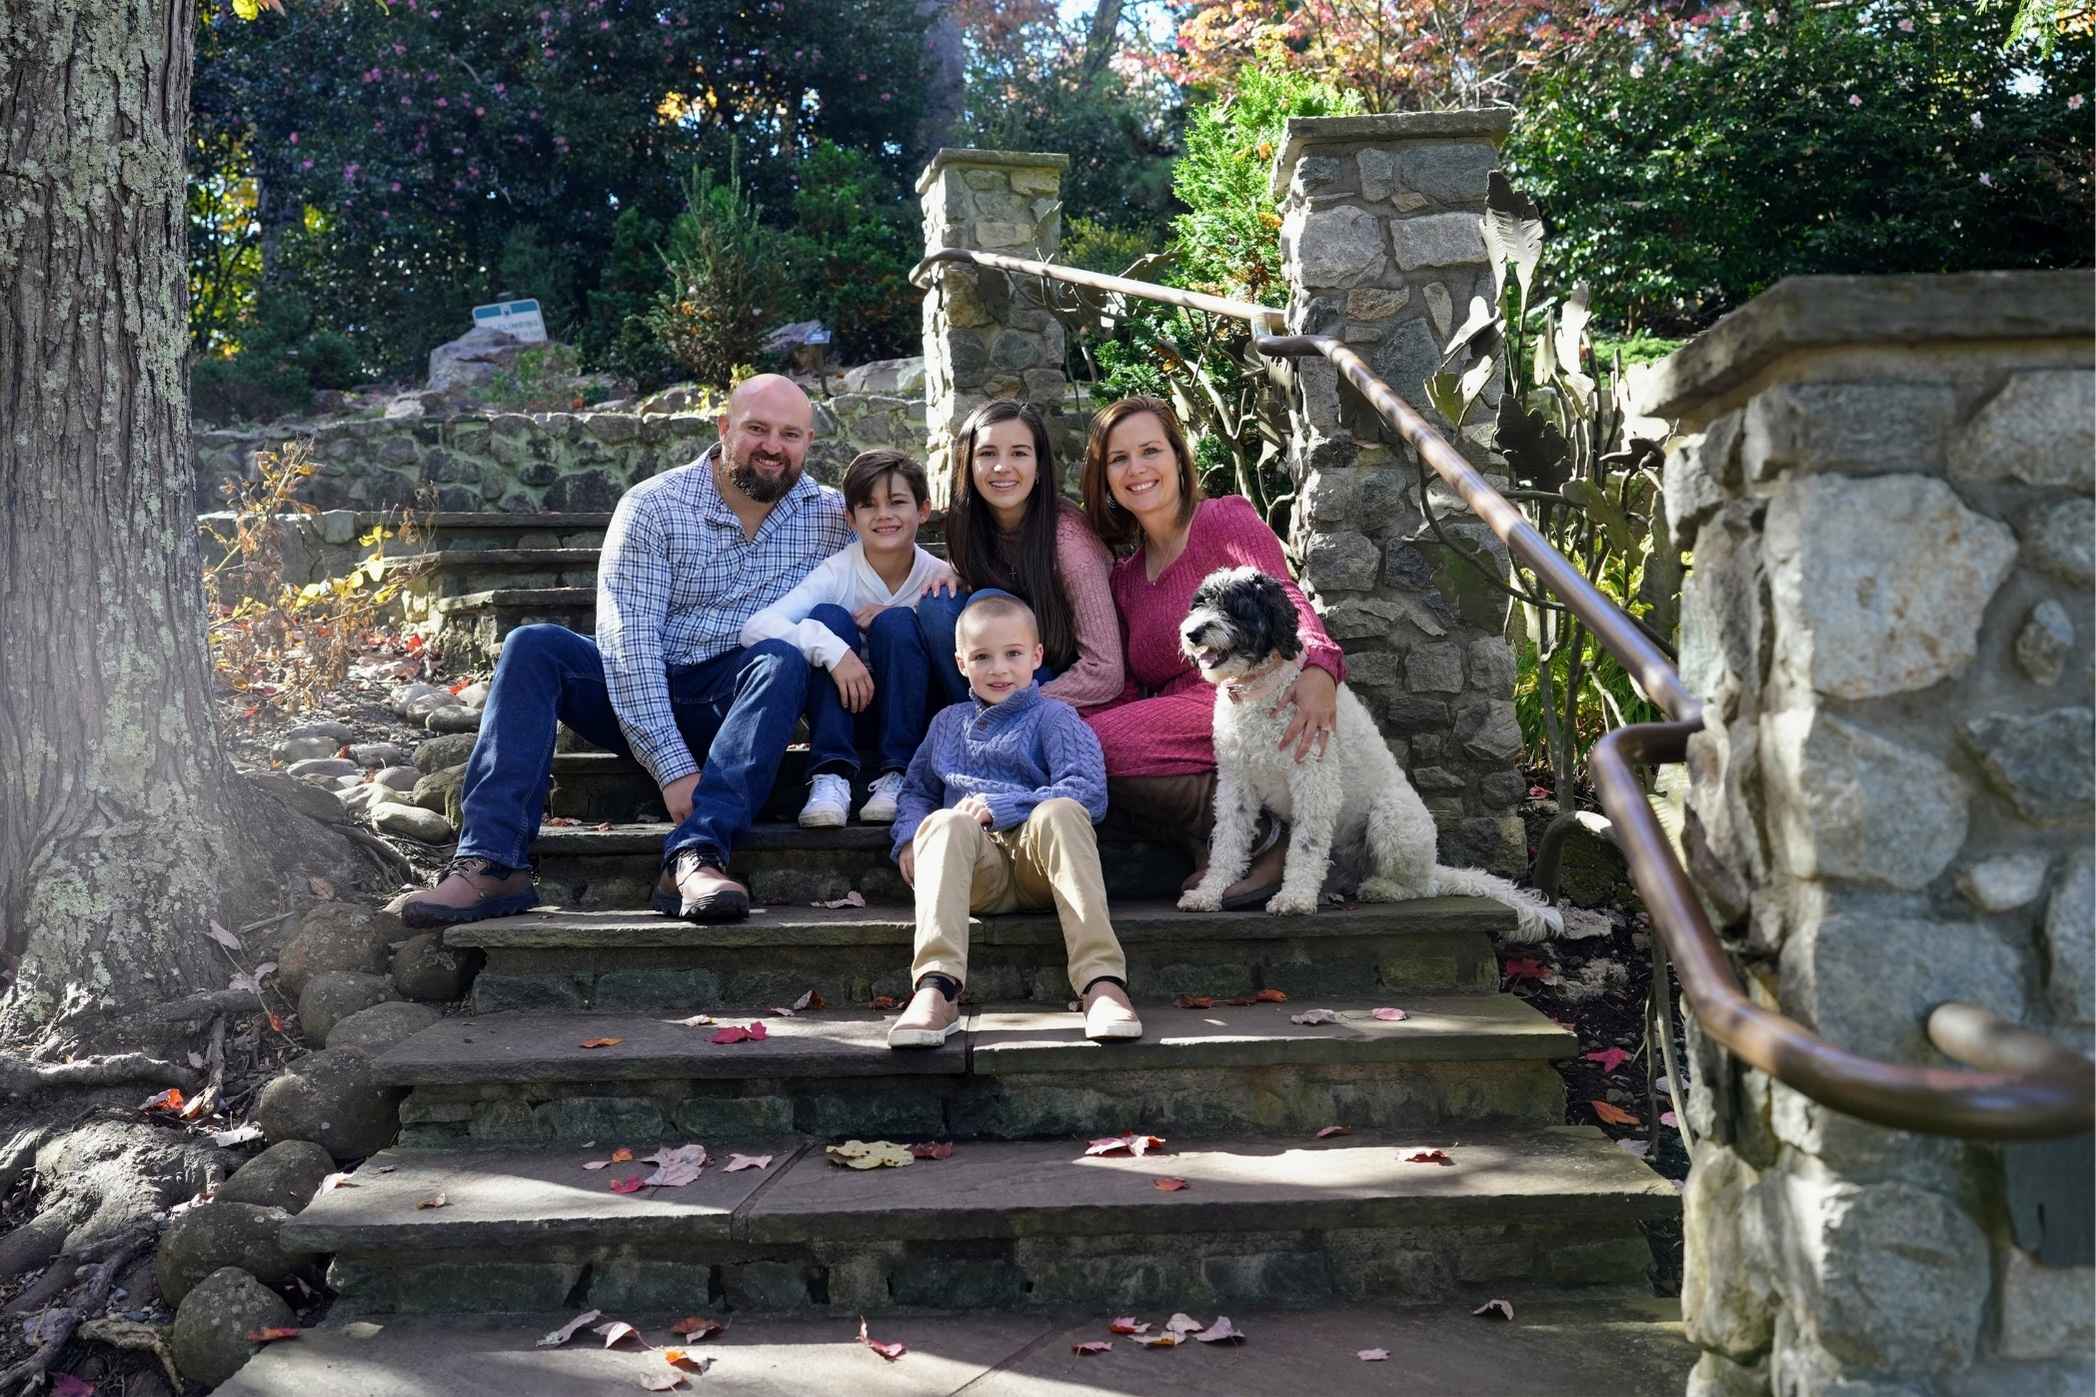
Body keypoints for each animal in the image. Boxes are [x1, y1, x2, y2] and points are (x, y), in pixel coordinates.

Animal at [1175, 566, 1561, 940]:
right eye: (1200, 603)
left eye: (1235, 607)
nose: (1192, 633)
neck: (1264, 690)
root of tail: (1433, 865)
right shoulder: (1236, 785)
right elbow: (1227, 842)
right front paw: (1209, 892)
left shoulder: (1314, 782)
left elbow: (1306, 845)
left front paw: (1294, 898)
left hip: (1391, 818)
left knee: (1421, 887)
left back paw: (1381, 889)